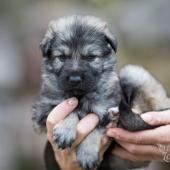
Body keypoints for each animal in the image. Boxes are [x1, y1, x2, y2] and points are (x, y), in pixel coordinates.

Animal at [32, 15, 170, 169]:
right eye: (62, 57)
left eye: (90, 57)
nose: (75, 79)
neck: (80, 95)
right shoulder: (42, 112)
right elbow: (69, 110)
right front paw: (65, 130)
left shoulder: (103, 110)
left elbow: (96, 128)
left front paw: (87, 153)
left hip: (133, 73)